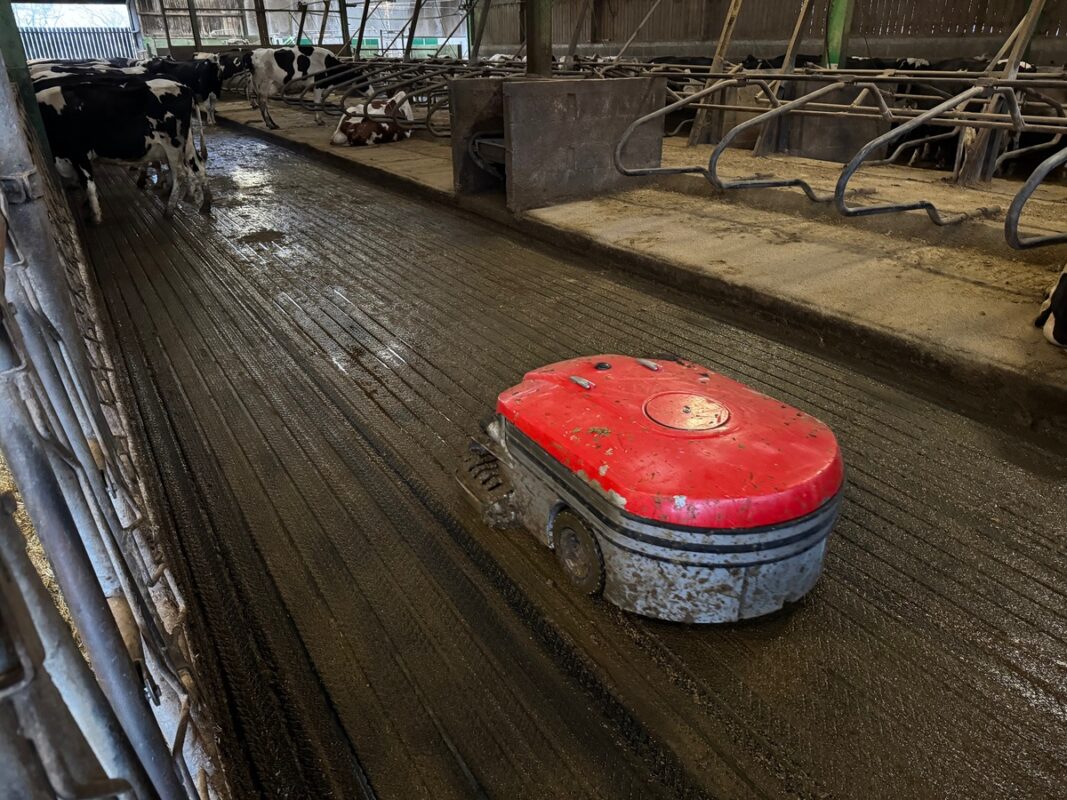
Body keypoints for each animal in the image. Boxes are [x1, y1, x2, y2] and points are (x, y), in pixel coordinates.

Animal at [36, 78, 210, 224]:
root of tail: (184, 87)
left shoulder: (78, 154)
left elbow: (88, 185)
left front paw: (95, 216)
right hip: (187, 143)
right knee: (198, 167)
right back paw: (206, 205)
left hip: (172, 145)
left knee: (180, 173)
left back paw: (168, 211)